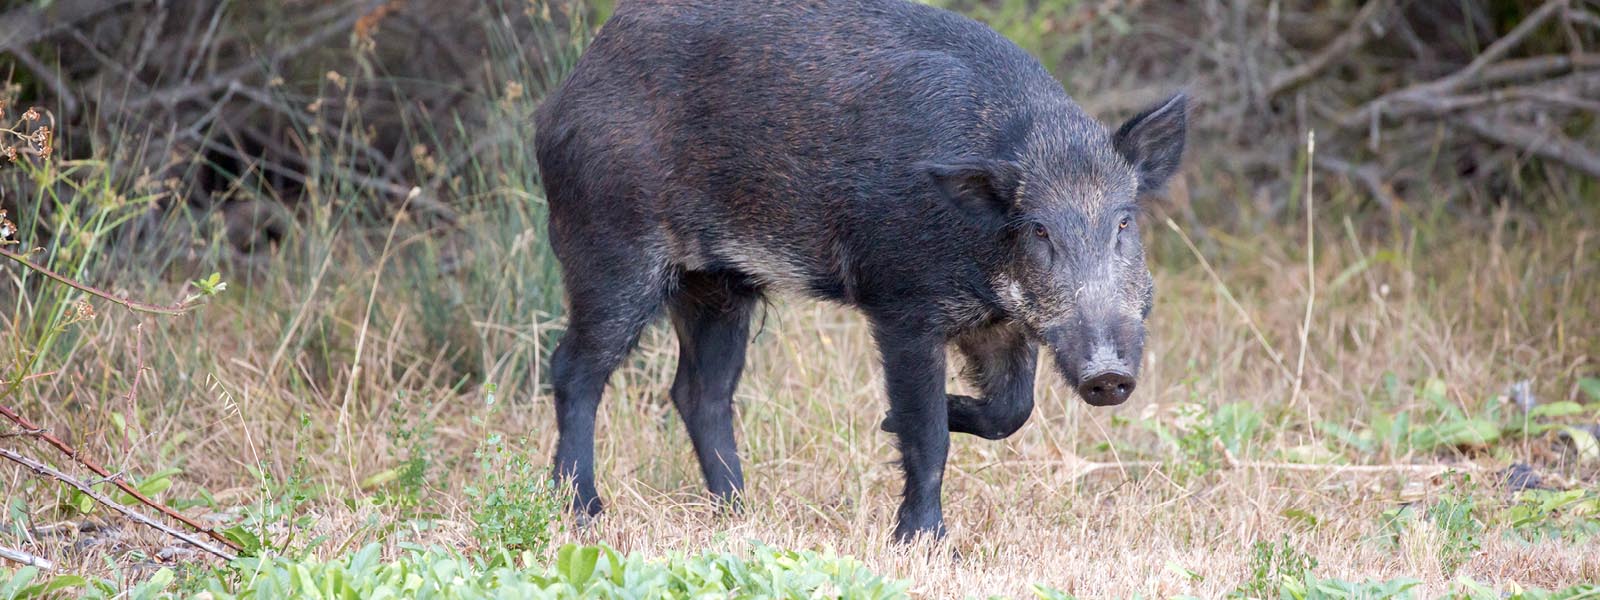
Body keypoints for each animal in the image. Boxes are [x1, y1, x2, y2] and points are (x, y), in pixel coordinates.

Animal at [533, 0, 1187, 541]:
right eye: (1038, 230)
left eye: (1124, 222)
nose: (1108, 375)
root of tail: (563, 94)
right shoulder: (902, 307)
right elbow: (928, 433)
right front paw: (921, 538)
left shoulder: (999, 324)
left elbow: (1011, 411)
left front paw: (887, 424)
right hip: (611, 248)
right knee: (575, 369)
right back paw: (584, 513)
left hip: (718, 283)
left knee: (700, 392)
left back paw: (742, 515)